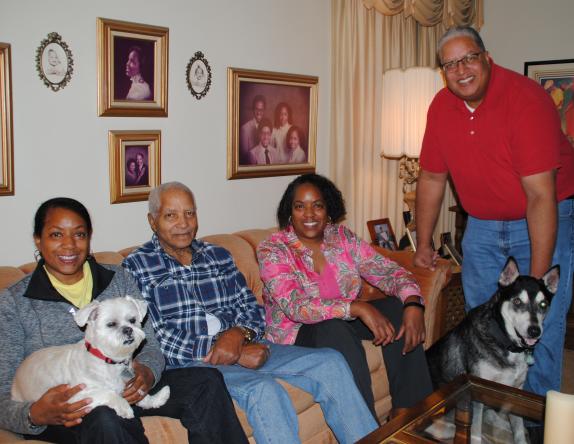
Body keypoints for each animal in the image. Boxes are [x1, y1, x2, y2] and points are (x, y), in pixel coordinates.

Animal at [11, 296, 169, 418]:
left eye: (132, 320)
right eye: (111, 324)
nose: (128, 329)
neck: (108, 361)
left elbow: (142, 394)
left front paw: (155, 399)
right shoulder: (75, 396)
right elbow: (109, 393)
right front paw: (124, 407)